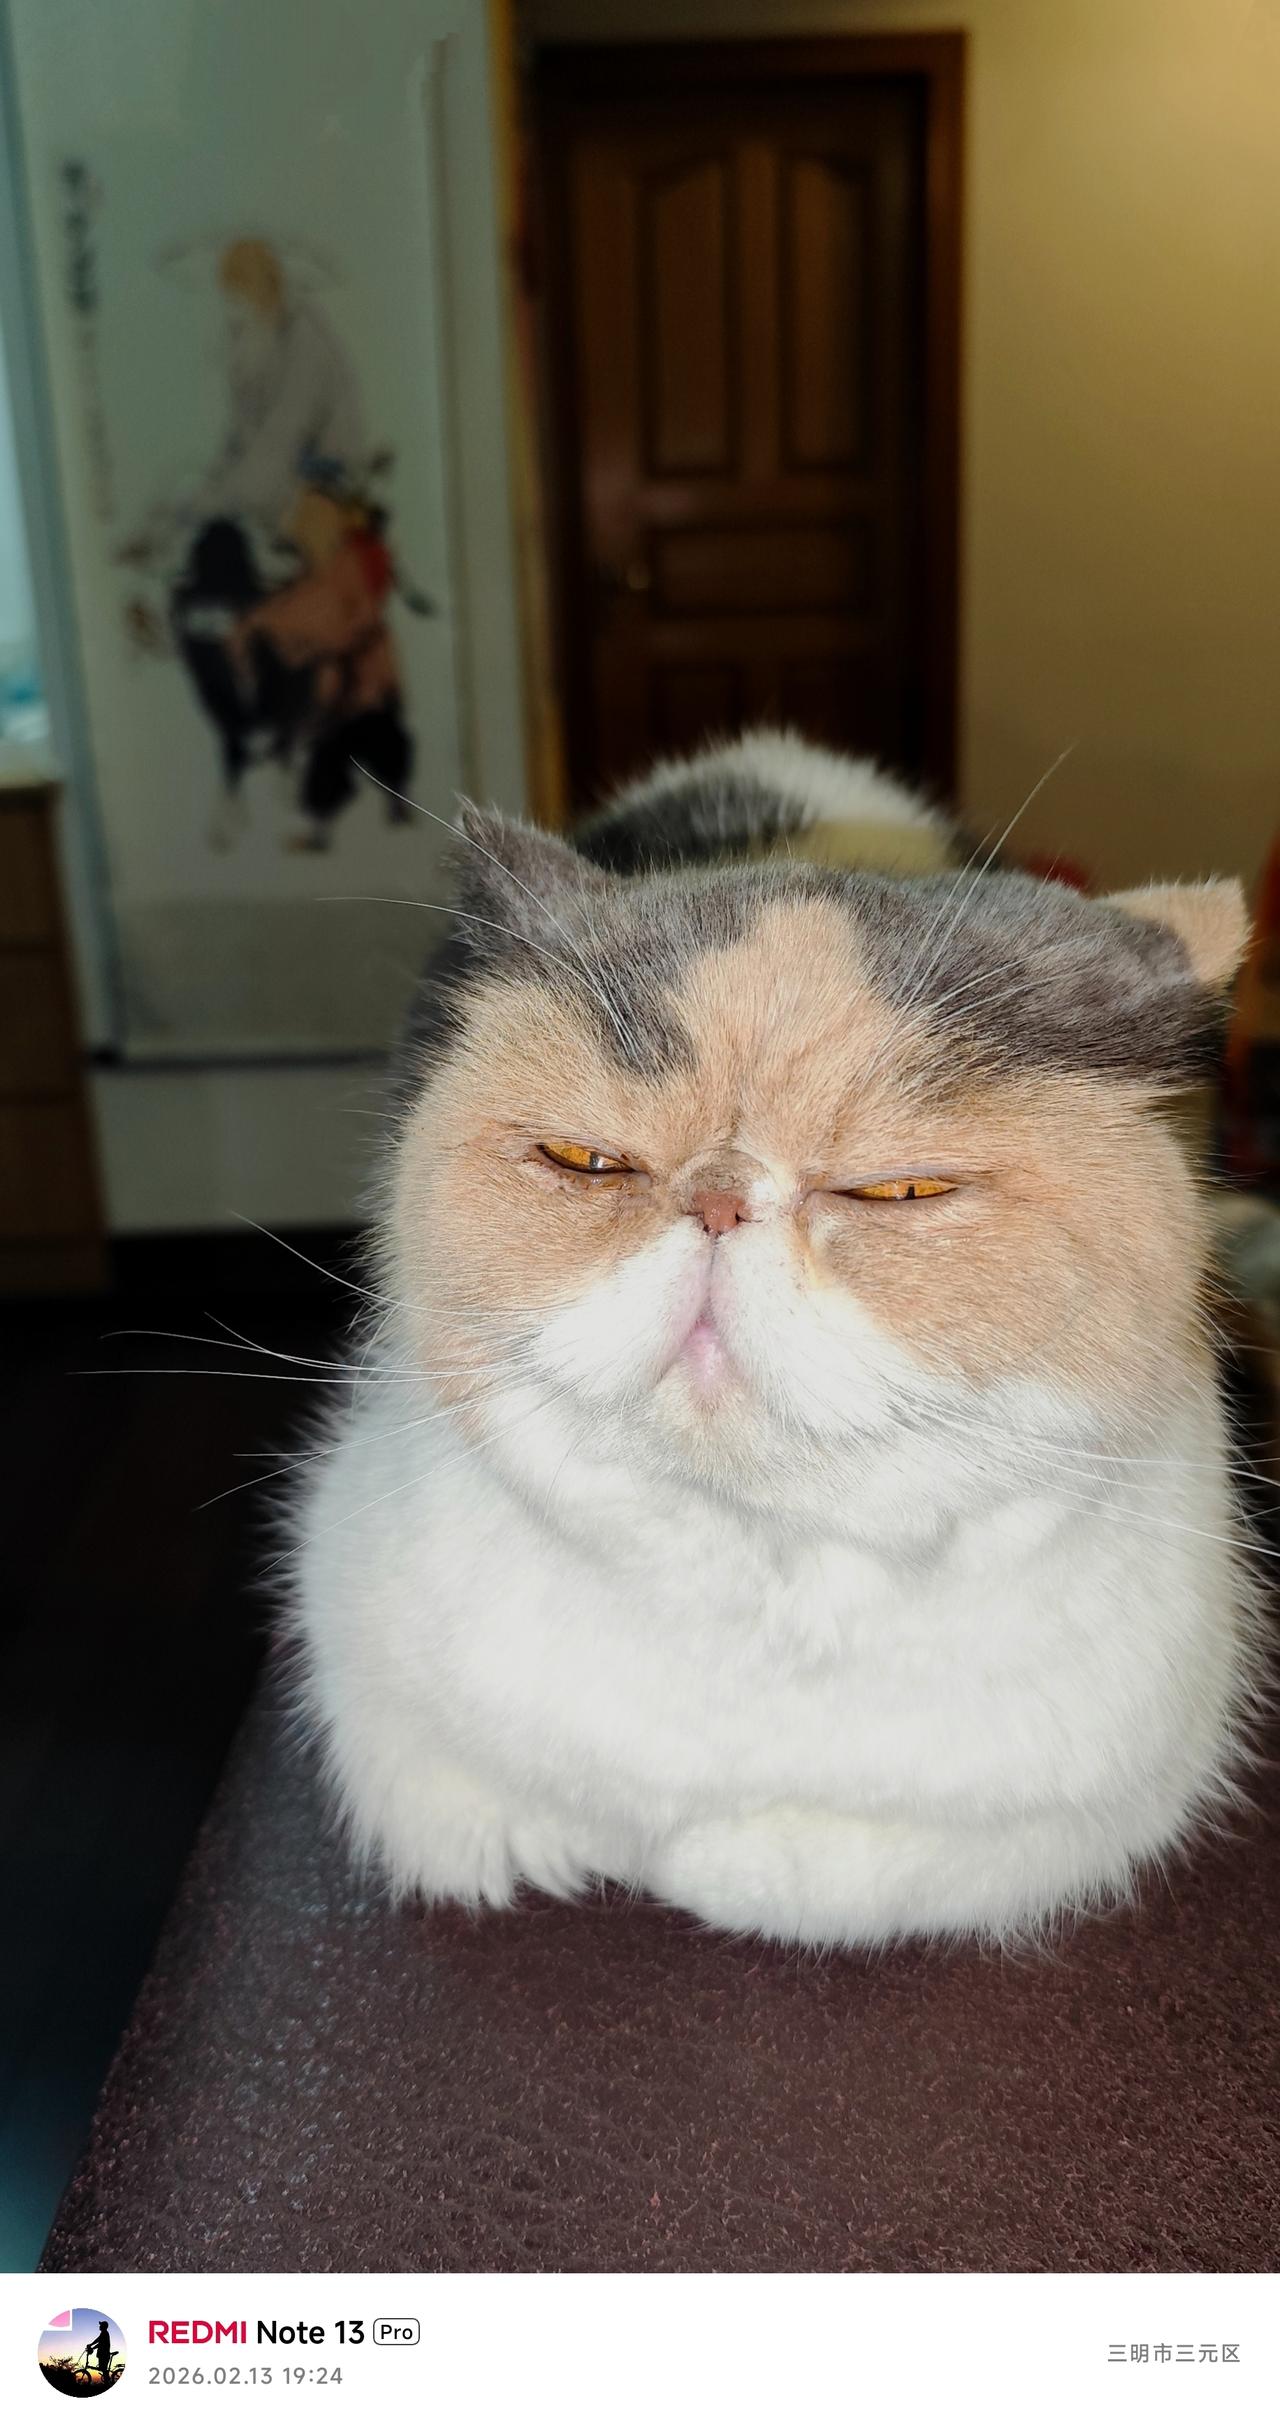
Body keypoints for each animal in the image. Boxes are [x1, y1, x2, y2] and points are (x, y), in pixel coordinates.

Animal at [289, 729, 1263, 1947]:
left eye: (902, 1187)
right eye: (586, 1161)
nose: (718, 1200)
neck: (755, 1584)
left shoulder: (1101, 1804)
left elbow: (806, 1871)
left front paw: (694, 1853)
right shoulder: (357, 1648)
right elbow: (473, 1810)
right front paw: (566, 1844)